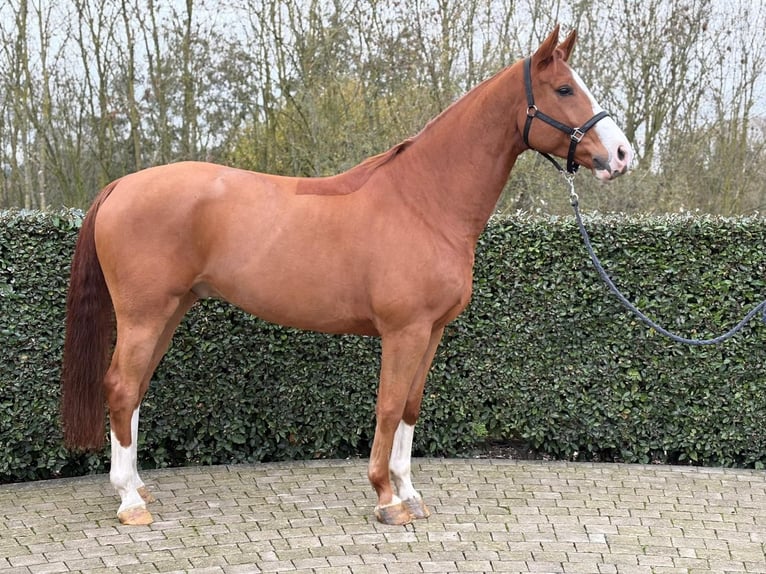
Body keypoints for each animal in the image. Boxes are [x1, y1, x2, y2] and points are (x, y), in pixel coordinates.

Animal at [61, 25, 632, 527]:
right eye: (565, 88)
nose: (622, 154)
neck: (425, 201)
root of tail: (120, 186)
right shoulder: (403, 332)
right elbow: (387, 406)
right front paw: (386, 499)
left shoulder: (431, 332)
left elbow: (410, 407)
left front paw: (409, 492)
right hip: (144, 314)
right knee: (120, 387)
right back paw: (129, 503)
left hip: (169, 311)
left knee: (135, 390)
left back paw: (138, 487)